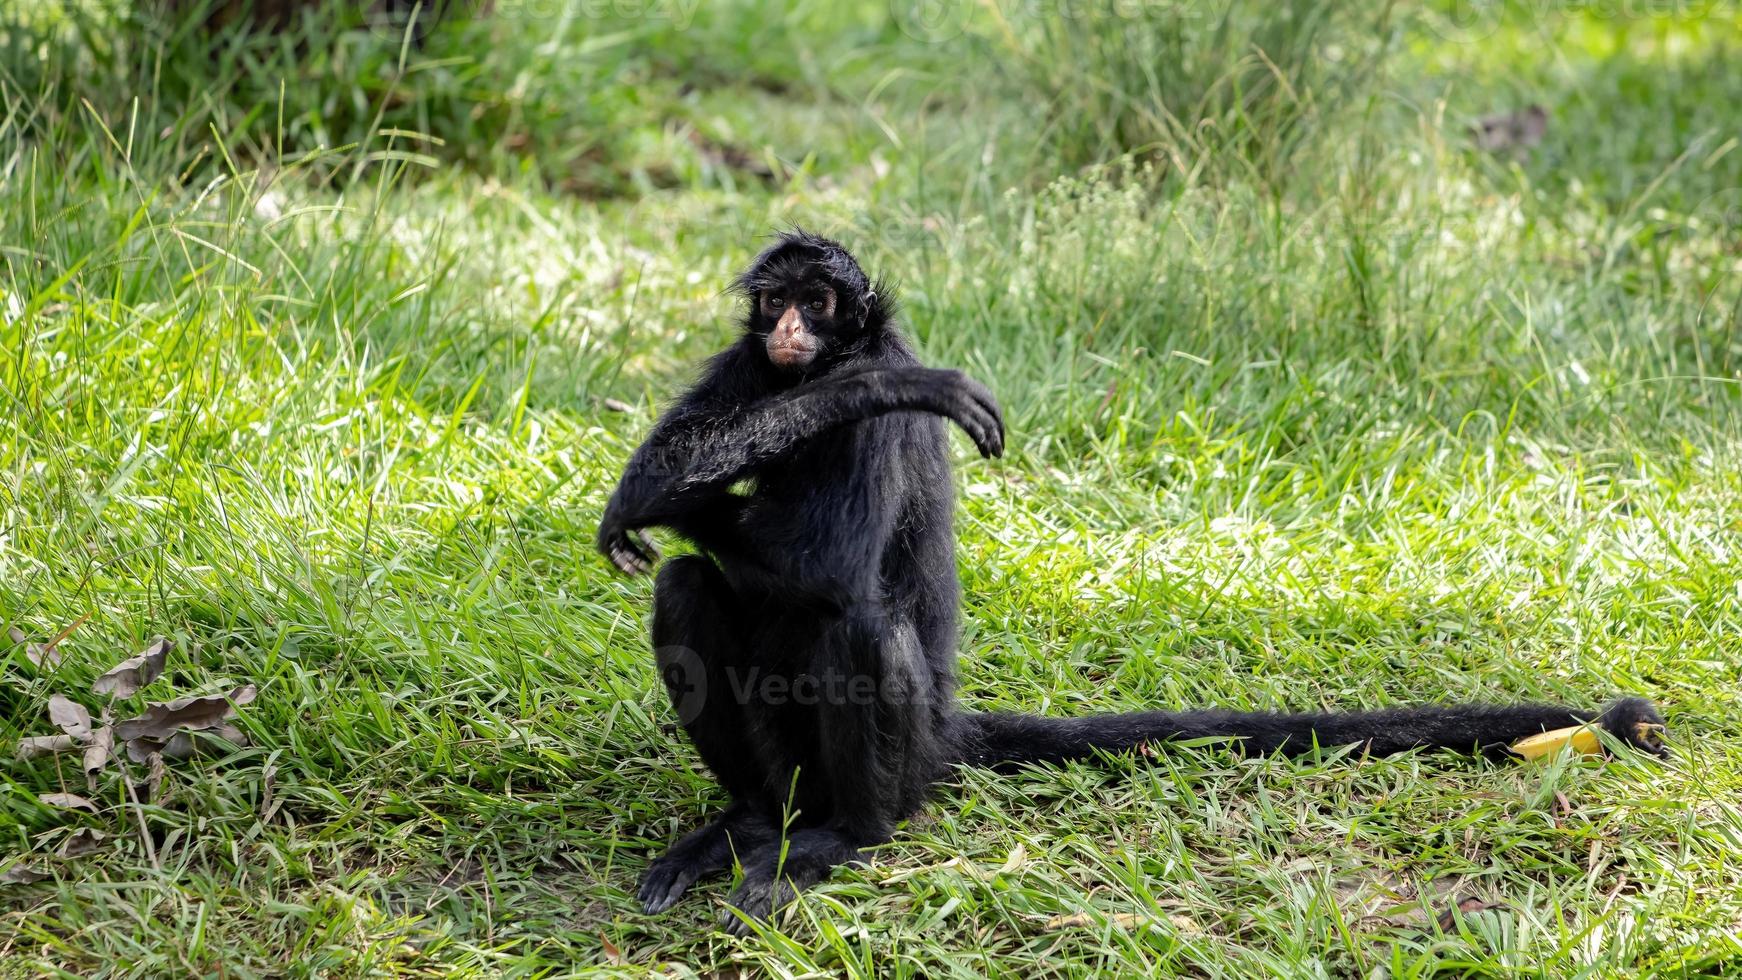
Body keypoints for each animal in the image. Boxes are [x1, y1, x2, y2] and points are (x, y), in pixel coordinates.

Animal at [595, 229, 1658, 933]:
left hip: (903, 758)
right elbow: (666, 477)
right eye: (774, 303)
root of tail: (942, 730)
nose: (789, 329)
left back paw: (843, 837)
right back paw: (748, 823)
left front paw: (877, 388)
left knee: (855, 619)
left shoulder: (867, 380)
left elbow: (834, 559)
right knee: (689, 586)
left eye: (818, 304)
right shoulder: (747, 365)